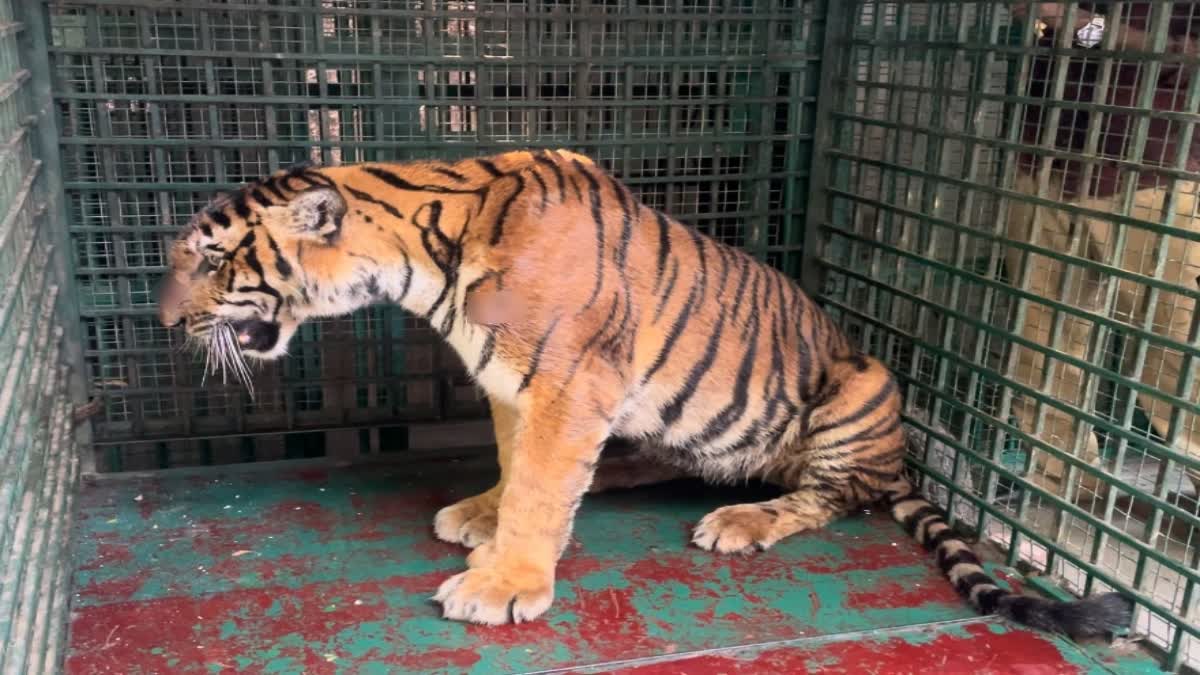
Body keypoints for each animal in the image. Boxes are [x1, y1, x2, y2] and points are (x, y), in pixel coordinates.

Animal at [159, 148, 1132, 634]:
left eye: (209, 260)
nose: (166, 322)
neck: (421, 257)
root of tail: (900, 462)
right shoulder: (515, 385)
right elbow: (527, 475)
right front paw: (488, 516)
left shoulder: (564, 384)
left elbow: (542, 487)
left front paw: (505, 580)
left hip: (861, 390)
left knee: (831, 496)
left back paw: (744, 519)